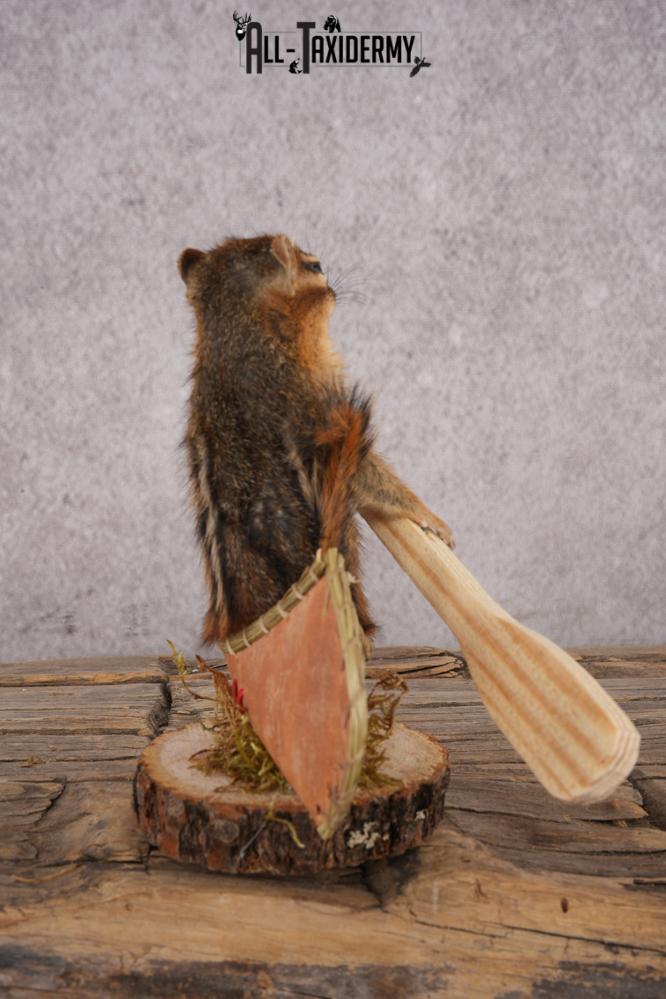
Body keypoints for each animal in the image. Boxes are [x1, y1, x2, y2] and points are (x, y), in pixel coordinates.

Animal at [179, 233, 454, 648]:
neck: (237, 341)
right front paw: (429, 517)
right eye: (315, 266)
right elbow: (371, 474)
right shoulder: (326, 408)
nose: (334, 289)